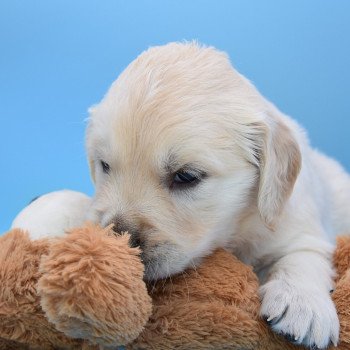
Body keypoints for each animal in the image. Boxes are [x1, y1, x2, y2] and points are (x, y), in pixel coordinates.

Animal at [85, 42, 350, 348]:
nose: (119, 240)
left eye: (186, 176)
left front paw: (302, 304)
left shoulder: (301, 226)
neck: (236, 229)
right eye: (105, 165)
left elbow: (302, 256)